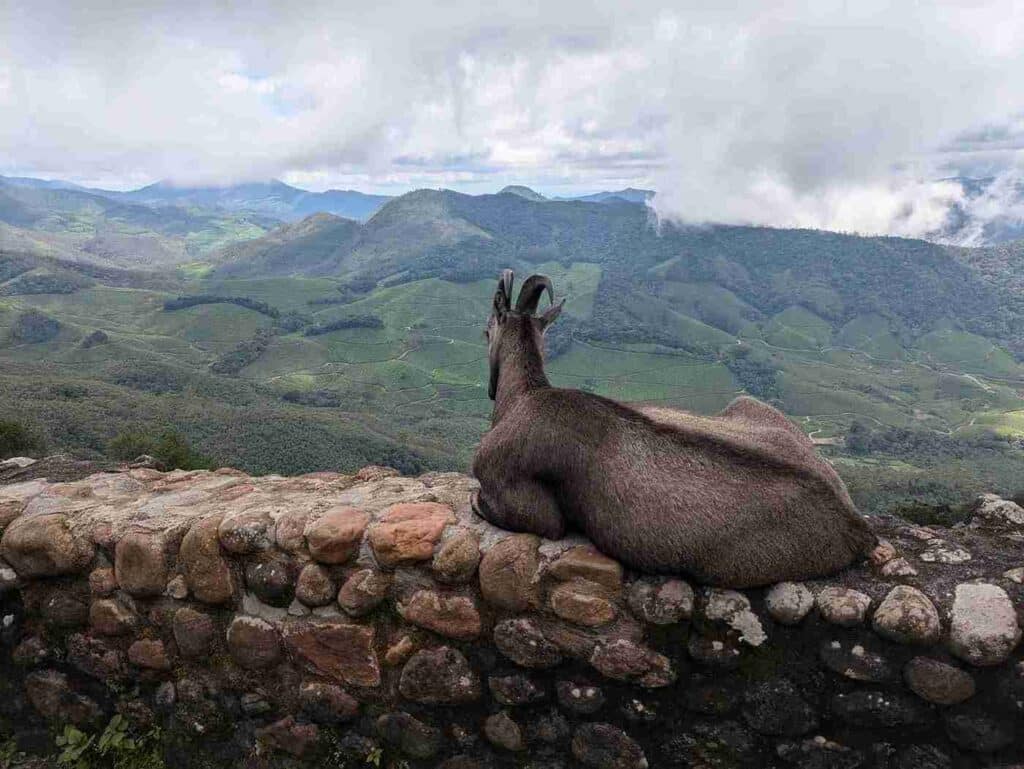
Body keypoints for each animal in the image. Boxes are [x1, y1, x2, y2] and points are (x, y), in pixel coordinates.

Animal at [468, 270, 876, 589]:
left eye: (486, 331)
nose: (488, 389)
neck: (524, 397)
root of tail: (855, 525)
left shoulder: (526, 502)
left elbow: (497, 507)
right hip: (749, 407)